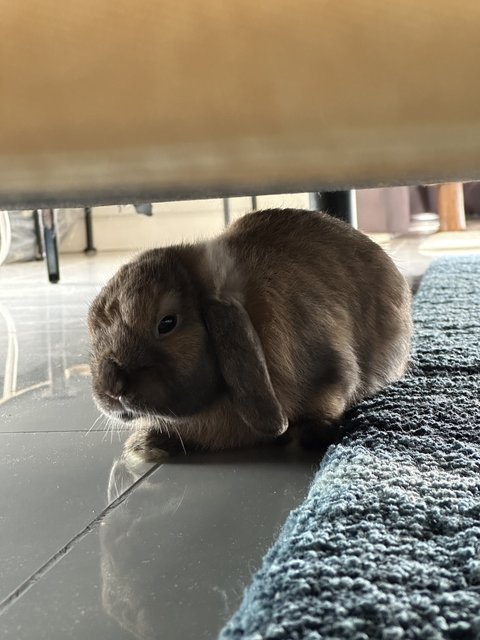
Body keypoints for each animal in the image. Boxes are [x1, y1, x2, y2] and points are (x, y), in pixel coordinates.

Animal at [88, 208, 410, 458]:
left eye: (166, 323)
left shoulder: (330, 372)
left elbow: (328, 399)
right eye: (94, 334)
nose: (112, 387)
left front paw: (309, 435)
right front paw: (147, 444)